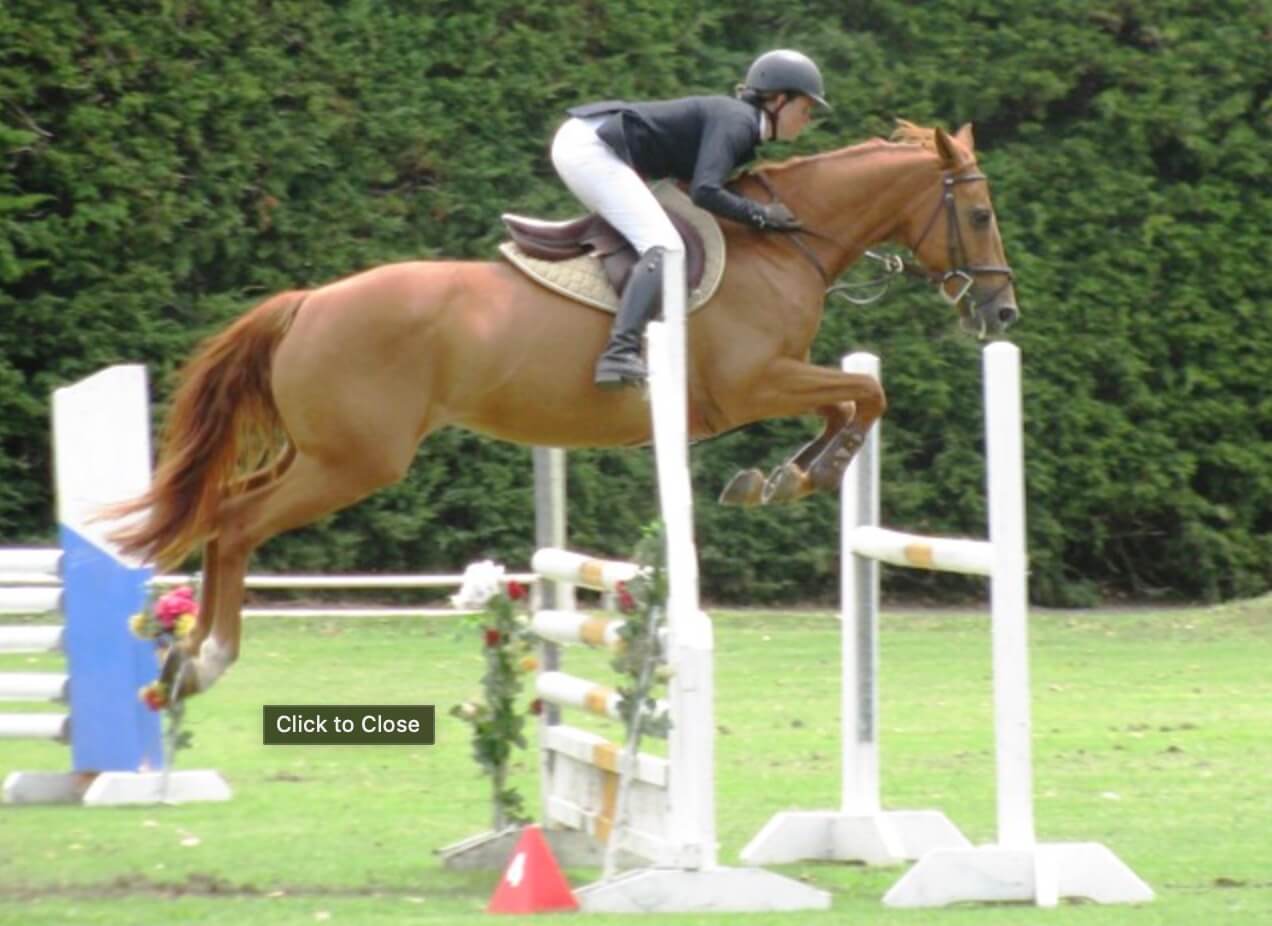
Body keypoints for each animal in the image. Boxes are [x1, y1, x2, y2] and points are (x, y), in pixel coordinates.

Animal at [109, 120, 1017, 699]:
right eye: (978, 214)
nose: (1001, 313)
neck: (783, 244)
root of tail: (306, 304)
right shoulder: (754, 382)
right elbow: (864, 393)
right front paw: (802, 475)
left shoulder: (774, 381)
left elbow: (852, 398)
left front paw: (782, 476)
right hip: (353, 462)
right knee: (235, 524)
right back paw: (209, 657)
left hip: (320, 454)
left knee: (223, 513)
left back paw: (183, 664)